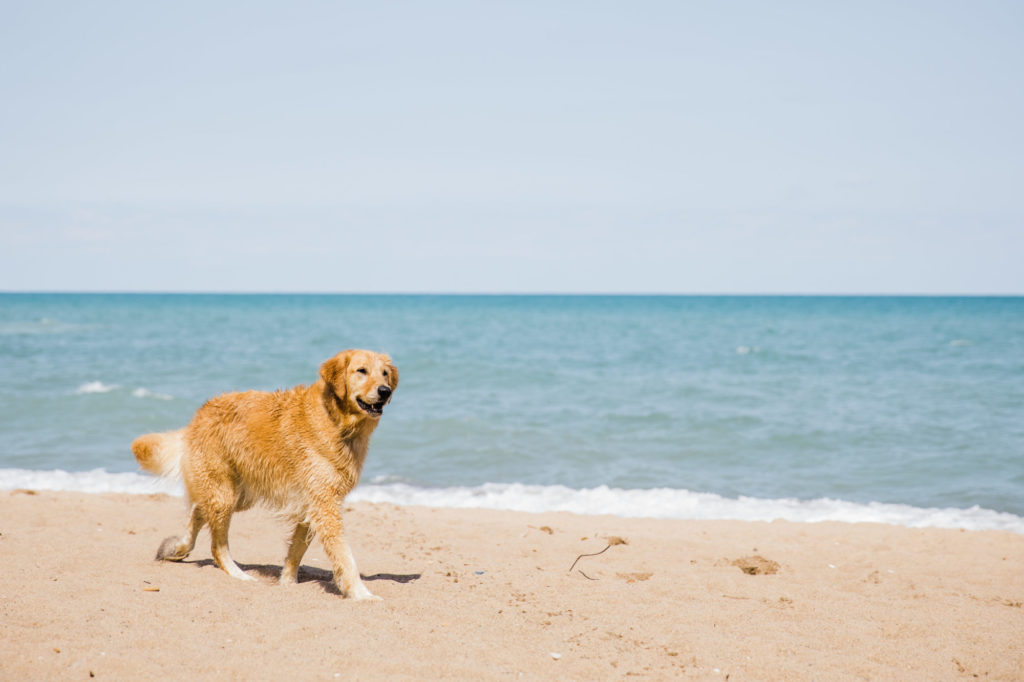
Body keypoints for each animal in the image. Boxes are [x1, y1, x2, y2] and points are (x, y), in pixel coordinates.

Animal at [129, 348, 399, 598]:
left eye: (384, 373)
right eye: (361, 371)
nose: (385, 391)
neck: (336, 421)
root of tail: (199, 414)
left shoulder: (312, 504)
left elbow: (296, 550)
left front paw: (287, 583)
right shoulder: (325, 504)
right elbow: (344, 555)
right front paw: (361, 594)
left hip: (238, 495)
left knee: (198, 511)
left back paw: (178, 548)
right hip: (225, 493)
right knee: (217, 545)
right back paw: (238, 575)